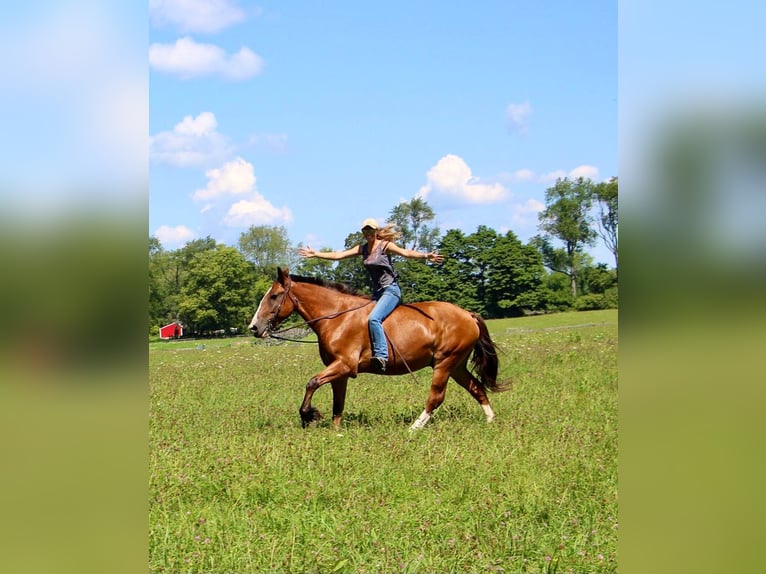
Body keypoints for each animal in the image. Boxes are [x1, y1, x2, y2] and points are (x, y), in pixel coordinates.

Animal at [250, 268, 510, 430]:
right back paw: (490, 421)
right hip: (456, 366)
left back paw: (414, 428)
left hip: (445, 363)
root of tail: (468, 314)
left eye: (274, 296)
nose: (254, 327)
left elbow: (311, 383)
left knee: (436, 397)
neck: (337, 317)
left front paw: (308, 416)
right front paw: (334, 431)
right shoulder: (340, 372)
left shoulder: (344, 365)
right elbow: (337, 404)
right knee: (476, 388)